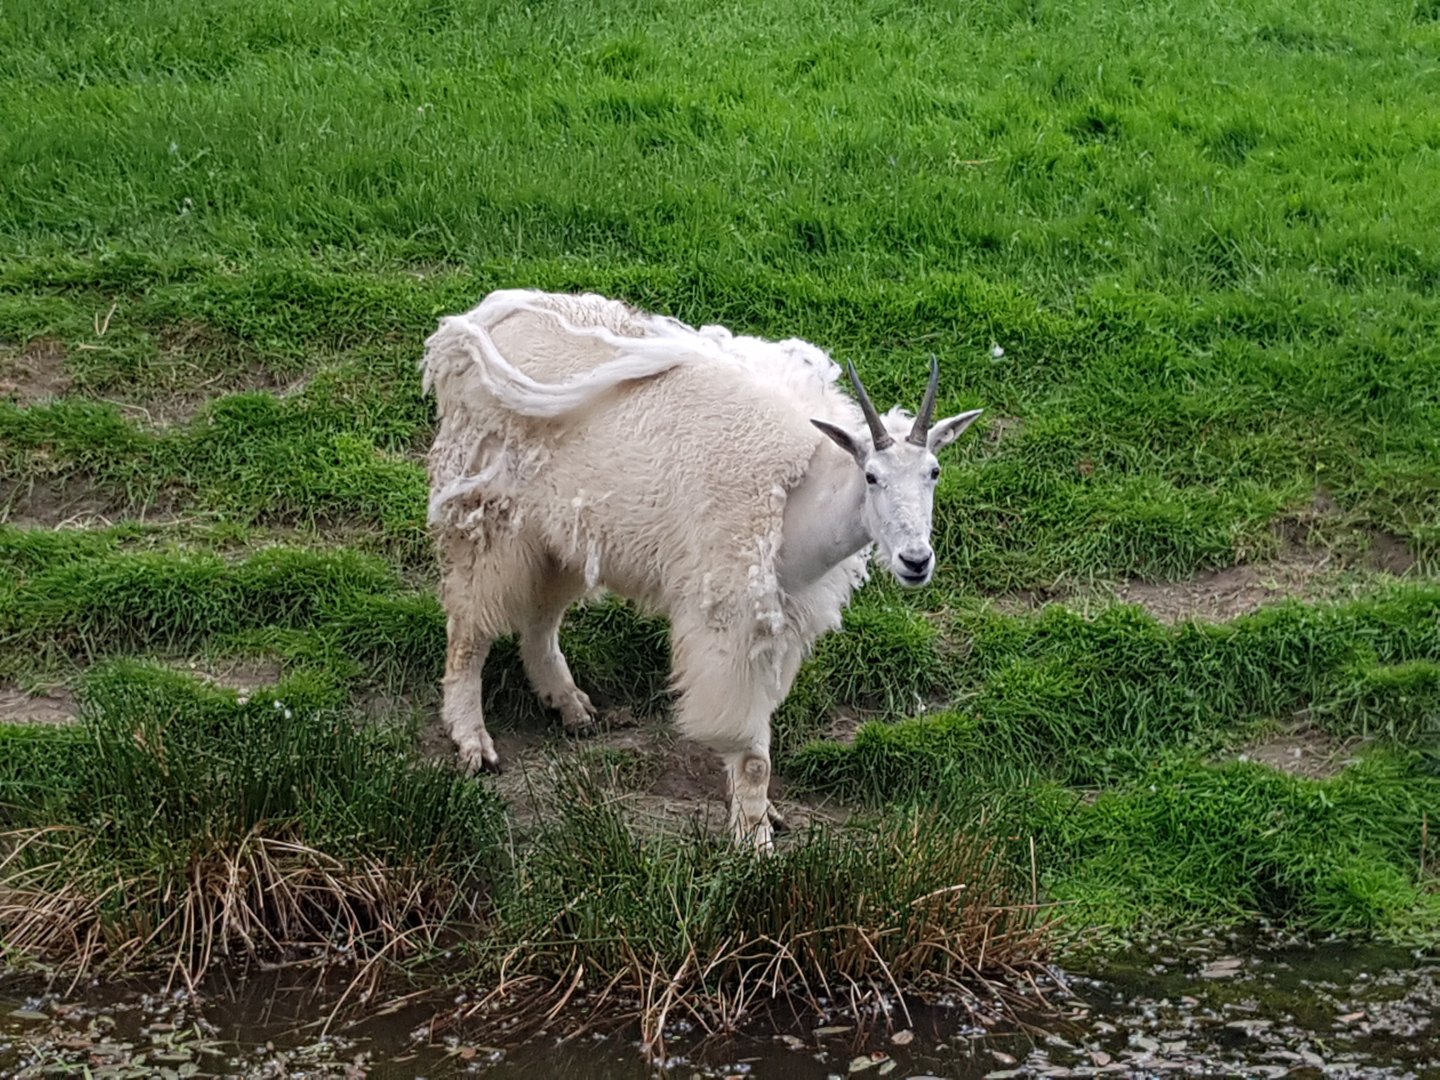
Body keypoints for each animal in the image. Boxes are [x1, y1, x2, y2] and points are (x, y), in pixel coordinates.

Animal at [421, 290, 982, 850]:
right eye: (871, 477)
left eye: (934, 472)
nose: (916, 560)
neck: (795, 501)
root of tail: (476, 323)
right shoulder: (729, 623)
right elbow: (752, 753)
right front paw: (756, 845)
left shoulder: (781, 624)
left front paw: (764, 816)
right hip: (485, 514)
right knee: (469, 627)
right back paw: (473, 740)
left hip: (561, 534)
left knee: (541, 617)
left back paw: (570, 706)